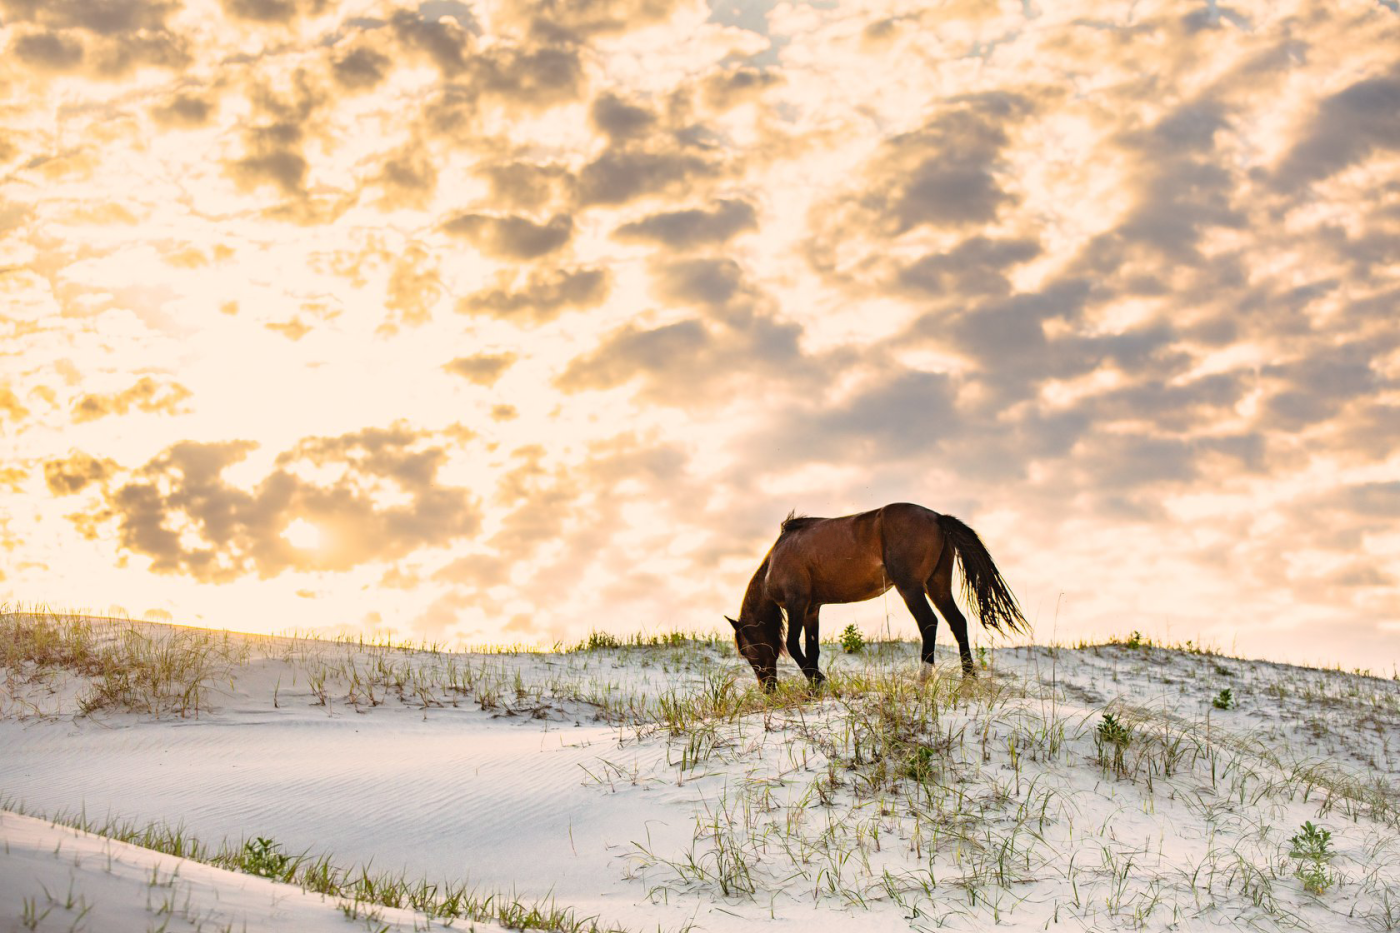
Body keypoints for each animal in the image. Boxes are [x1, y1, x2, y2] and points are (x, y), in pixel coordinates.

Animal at [728, 504, 1036, 686]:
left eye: (748, 651)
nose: (768, 689)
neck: (777, 558)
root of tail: (937, 518)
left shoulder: (797, 604)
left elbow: (794, 646)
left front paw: (818, 681)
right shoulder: (812, 609)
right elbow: (812, 649)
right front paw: (815, 687)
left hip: (911, 587)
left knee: (930, 623)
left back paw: (923, 678)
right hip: (937, 585)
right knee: (957, 623)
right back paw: (968, 678)